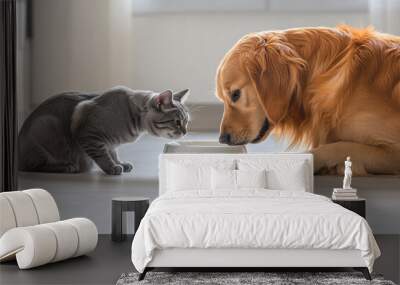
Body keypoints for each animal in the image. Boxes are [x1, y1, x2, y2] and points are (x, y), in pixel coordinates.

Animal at [19, 86, 191, 174]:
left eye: (186, 122)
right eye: (177, 122)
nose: (185, 132)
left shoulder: (109, 143)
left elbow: (113, 153)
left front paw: (120, 163)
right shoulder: (90, 136)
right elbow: (102, 155)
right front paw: (112, 167)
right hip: (46, 128)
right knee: (33, 166)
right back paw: (67, 167)